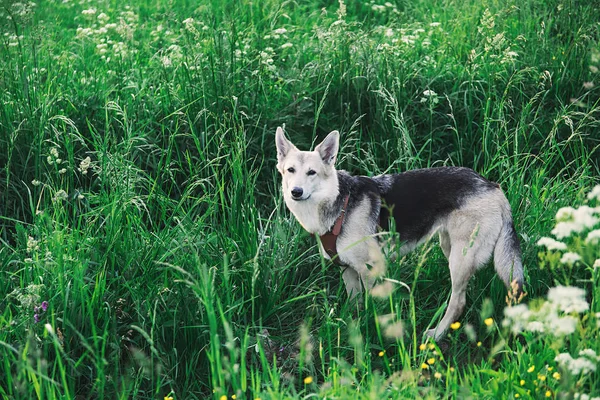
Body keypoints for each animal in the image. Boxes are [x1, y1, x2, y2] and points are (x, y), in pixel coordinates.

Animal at [276, 126, 524, 340]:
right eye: (290, 170)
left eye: (312, 173)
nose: (296, 192)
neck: (338, 204)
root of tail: (493, 187)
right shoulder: (348, 271)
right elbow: (356, 305)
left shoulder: (370, 270)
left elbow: (373, 307)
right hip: (450, 248)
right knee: (462, 293)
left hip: (460, 258)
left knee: (458, 302)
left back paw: (437, 333)